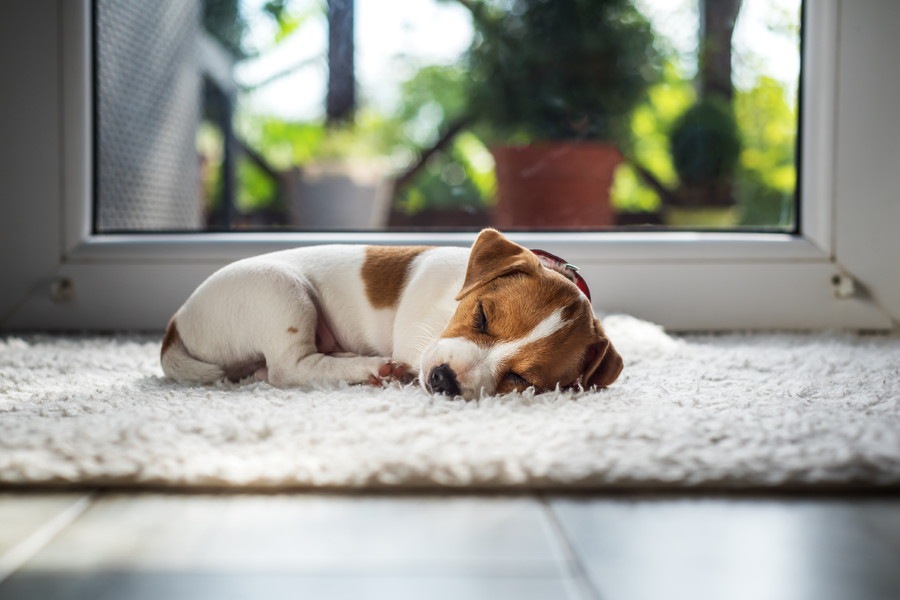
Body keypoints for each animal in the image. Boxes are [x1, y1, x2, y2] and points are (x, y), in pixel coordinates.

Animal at [160, 230, 620, 398]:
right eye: (482, 317)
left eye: (521, 380)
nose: (443, 380)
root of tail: (175, 324)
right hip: (282, 292)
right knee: (288, 368)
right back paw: (371, 368)